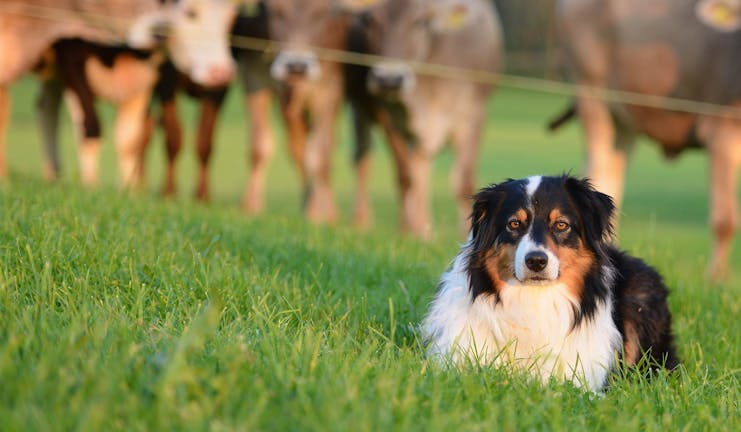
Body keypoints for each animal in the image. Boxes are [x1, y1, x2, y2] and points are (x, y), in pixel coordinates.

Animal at [344, 0, 500, 236]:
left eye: (419, 23)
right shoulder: (391, 117)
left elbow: (463, 181)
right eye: (371, 21)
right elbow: (406, 177)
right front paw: (410, 231)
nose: (389, 79)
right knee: (364, 160)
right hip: (360, 110)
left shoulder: (473, 116)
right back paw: (369, 221)